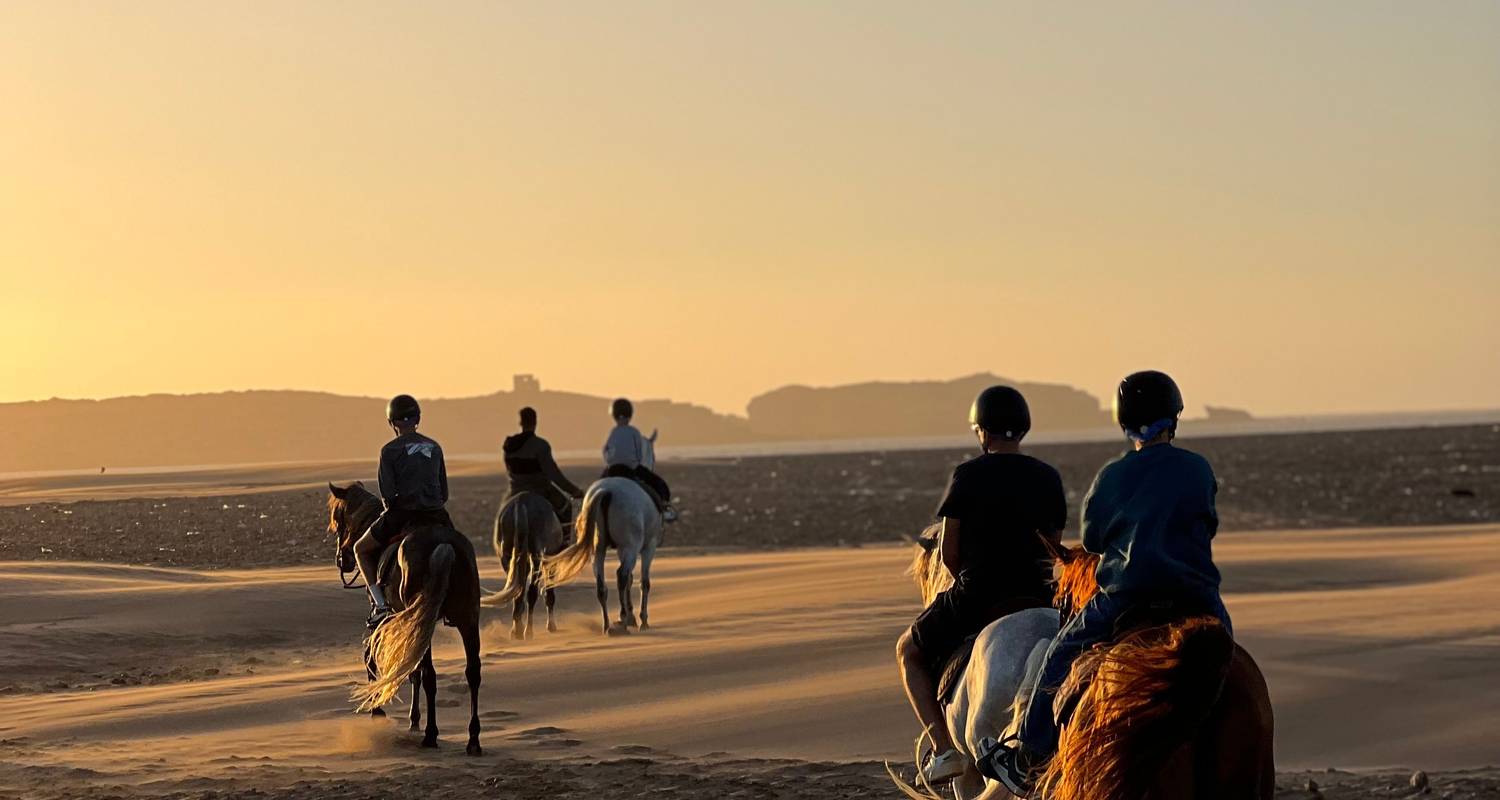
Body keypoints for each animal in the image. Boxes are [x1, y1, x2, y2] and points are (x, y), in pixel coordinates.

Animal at [325, 480, 483, 753]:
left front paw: (381, 709)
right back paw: (473, 739)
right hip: (468, 618)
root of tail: (444, 546)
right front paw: (413, 719)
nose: (342, 560)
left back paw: (431, 735)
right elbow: (412, 670)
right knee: (472, 673)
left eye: (338, 519)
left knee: (430, 675)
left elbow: (377, 661)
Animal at [483, 489, 564, 639]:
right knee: (531, 592)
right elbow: (549, 593)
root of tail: (521, 503)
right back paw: (528, 630)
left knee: (517, 590)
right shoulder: (551, 561)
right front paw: (551, 625)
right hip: (536, 557)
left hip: (507, 556)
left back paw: (517, 629)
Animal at [537, 432, 660, 633]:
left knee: (602, 586)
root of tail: (606, 492)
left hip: (599, 549)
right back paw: (622, 620)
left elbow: (632, 580)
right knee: (621, 576)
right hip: (629, 546)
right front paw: (641, 620)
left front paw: (631, 616)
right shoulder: (648, 547)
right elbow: (643, 582)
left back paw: (608, 625)